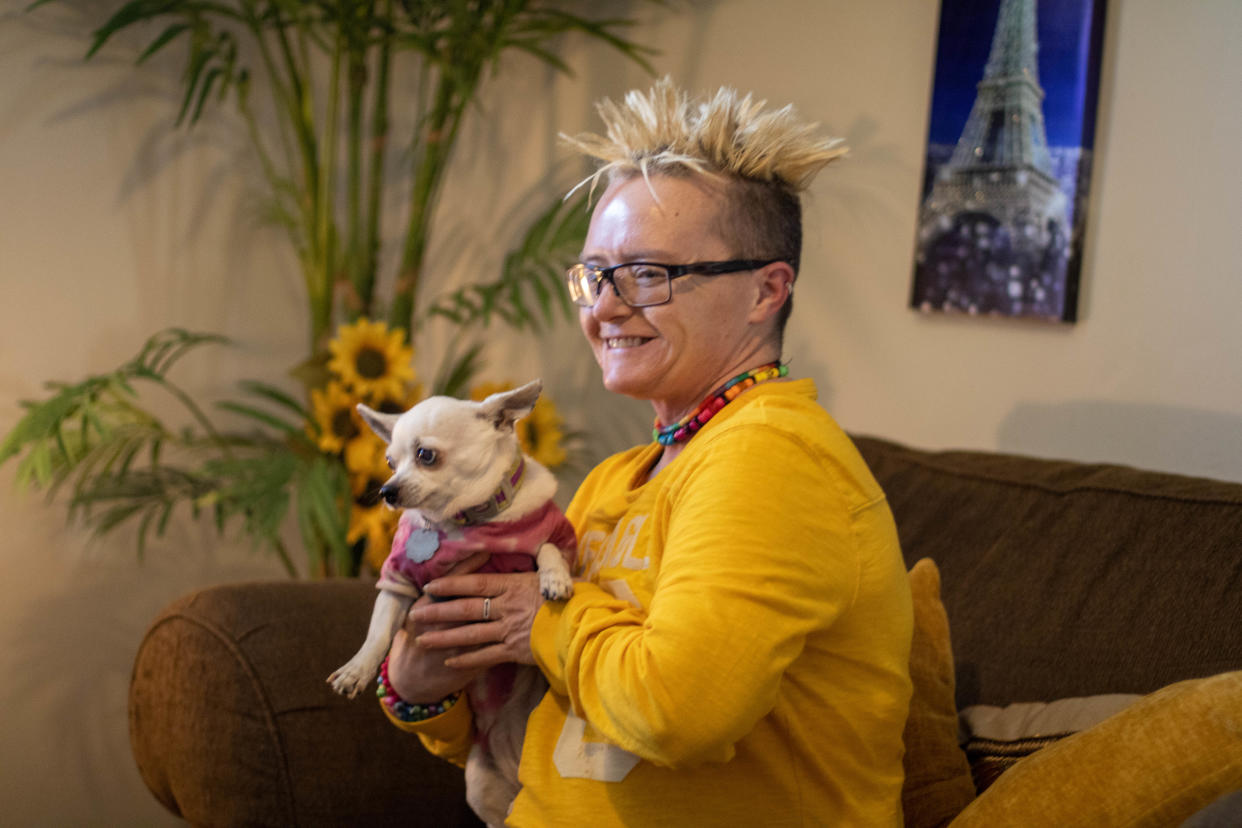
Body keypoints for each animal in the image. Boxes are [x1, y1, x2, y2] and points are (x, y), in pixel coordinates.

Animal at [332, 379, 578, 824]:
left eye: (425, 455)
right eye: (390, 461)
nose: (387, 490)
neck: (469, 521)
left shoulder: (558, 536)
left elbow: (549, 548)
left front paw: (555, 579)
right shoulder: (397, 582)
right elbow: (378, 634)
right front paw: (356, 670)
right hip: (479, 782)